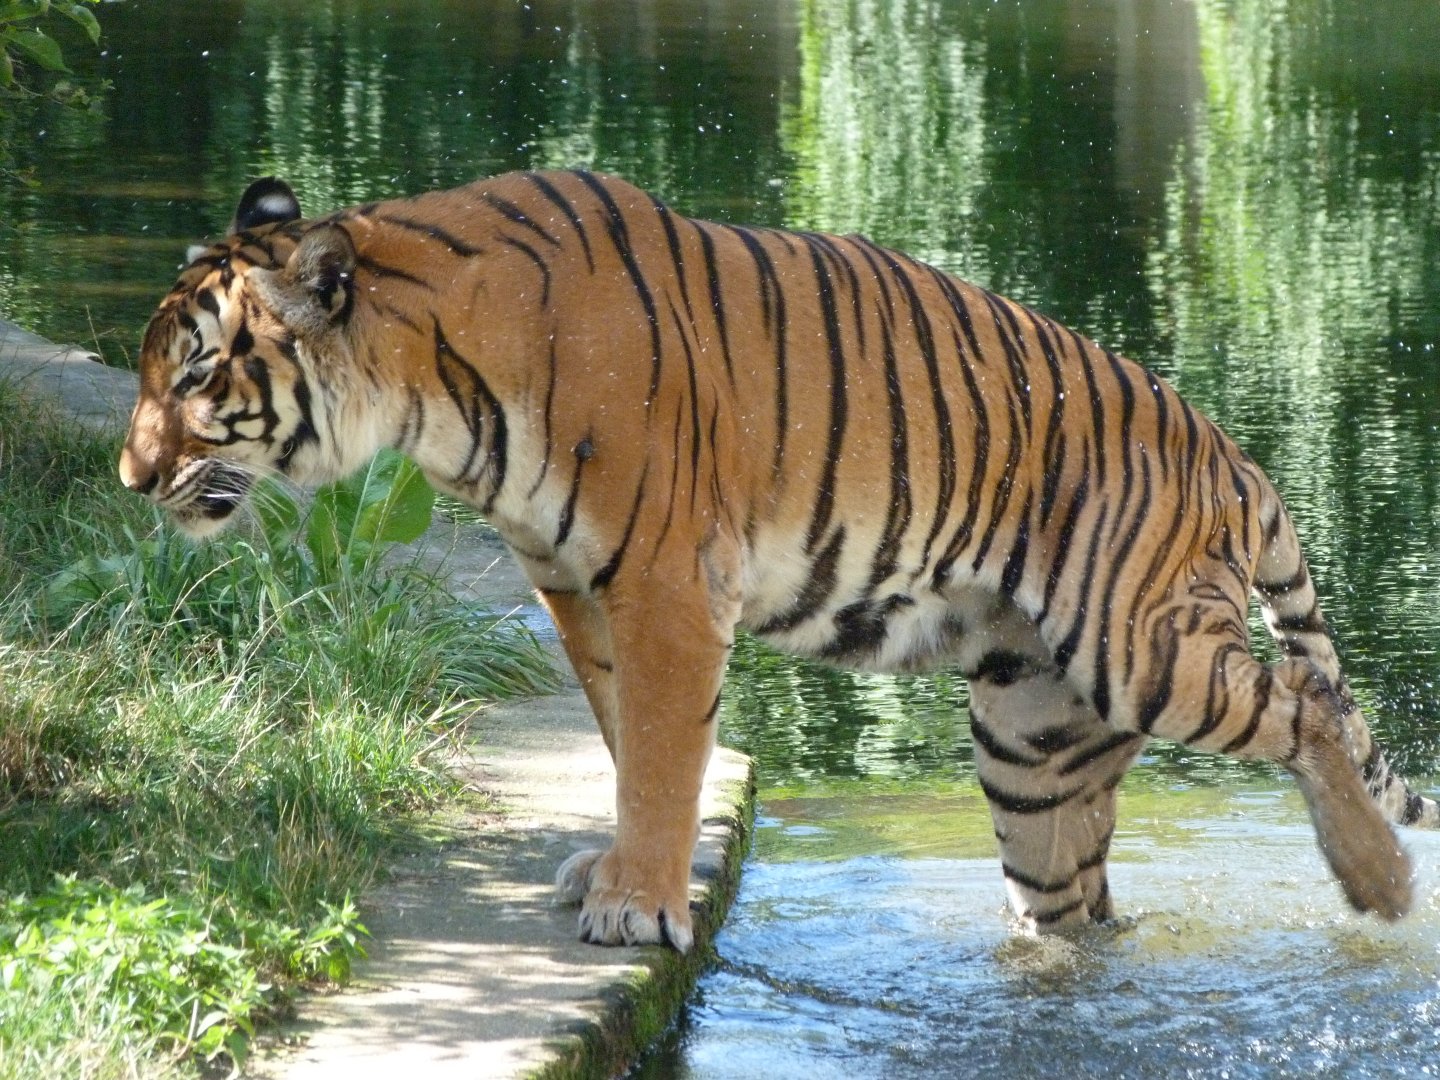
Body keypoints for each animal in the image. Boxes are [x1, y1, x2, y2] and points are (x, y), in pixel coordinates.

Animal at [119, 170, 1438, 952]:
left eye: (196, 373)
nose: (130, 477)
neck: (432, 385)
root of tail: (1231, 451)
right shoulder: (573, 580)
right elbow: (622, 733)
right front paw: (620, 871)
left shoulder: (658, 579)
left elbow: (662, 751)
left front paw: (635, 903)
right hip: (1036, 744)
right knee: (1076, 907)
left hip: (1138, 647)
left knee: (1310, 697)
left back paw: (1379, 885)